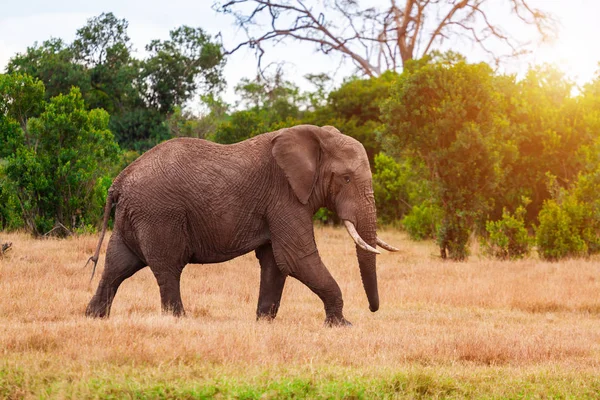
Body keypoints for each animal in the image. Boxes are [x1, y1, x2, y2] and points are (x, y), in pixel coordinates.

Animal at [84, 124, 396, 324]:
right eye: (346, 178)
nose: (373, 310)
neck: (317, 138)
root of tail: (119, 180)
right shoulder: (284, 195)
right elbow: (296, 258)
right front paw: (342, 324)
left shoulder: (278, 202)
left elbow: (275, 262)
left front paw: (263, 322)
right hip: (158, 214)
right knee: (167, 268)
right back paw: (178, 321)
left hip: (133, 215)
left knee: (117, 265)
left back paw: (94, 317)